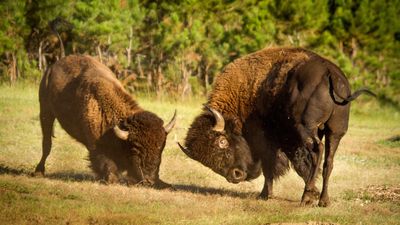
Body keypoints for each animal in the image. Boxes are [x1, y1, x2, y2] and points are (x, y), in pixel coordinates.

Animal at [34, 55, 177, 187]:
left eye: (161, 148)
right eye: (135, 149)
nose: (149, 180)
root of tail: (52, 67)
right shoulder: (96, 145)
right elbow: (107, 165)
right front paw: (110, 179)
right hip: (46, 111)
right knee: (46, 143)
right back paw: (38, 172)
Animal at [179, 48, 376, 207]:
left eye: (222, 141)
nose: (235, 176)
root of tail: (330, 72)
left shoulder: (266, 140)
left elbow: (270, 167)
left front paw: (264, 195)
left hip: (305, 128)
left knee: (316, 151)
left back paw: (307, 197)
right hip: (335, 131)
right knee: (328, 160)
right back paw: (323, 200)